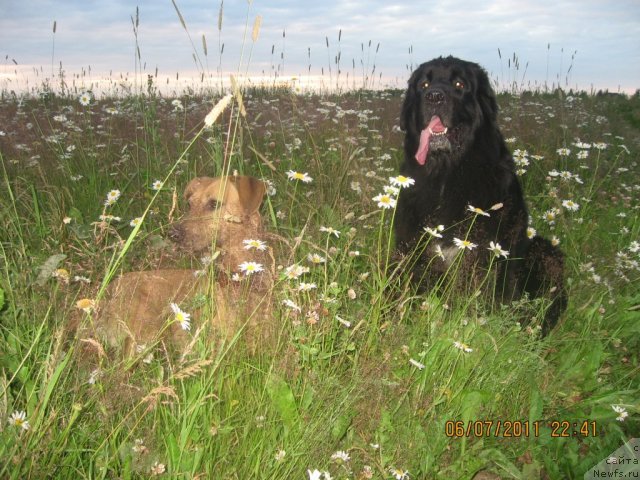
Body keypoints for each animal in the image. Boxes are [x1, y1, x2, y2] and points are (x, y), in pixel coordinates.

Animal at [93, 176, 276, 356]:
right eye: (189, 204)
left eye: (214, 204)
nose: (172, 234)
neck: (241, 277)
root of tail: (106, 293)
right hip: (145, 329)